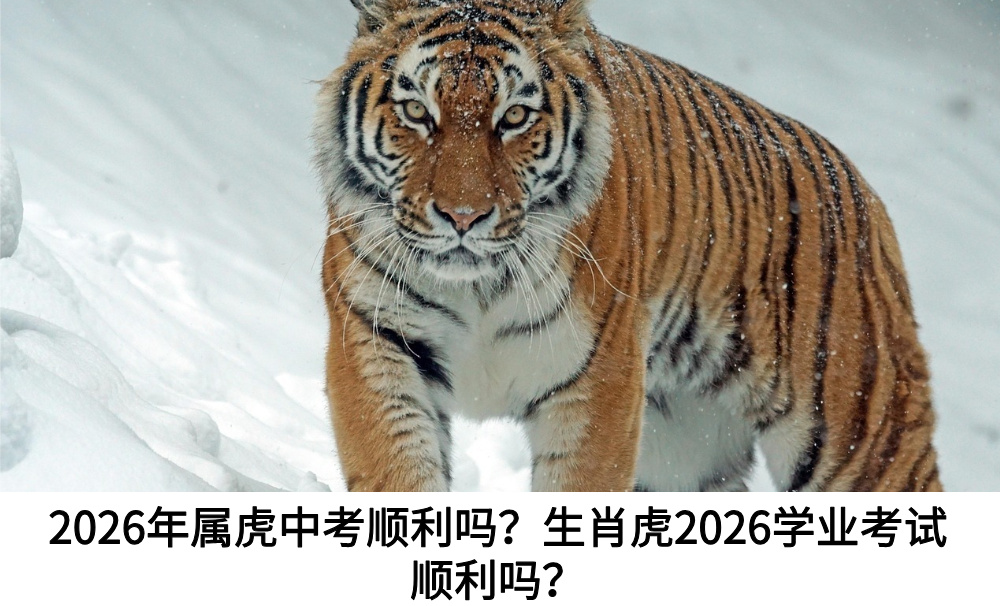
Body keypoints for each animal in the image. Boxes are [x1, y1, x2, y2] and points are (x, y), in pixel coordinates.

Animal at [312, 0, 941, 491]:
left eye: (514, 116)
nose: (463, 216)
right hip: (683, 449)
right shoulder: (376, 341)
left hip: (861, 436)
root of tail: (864, 194)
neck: (479, 287)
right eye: (417, 111)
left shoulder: (600, 381)